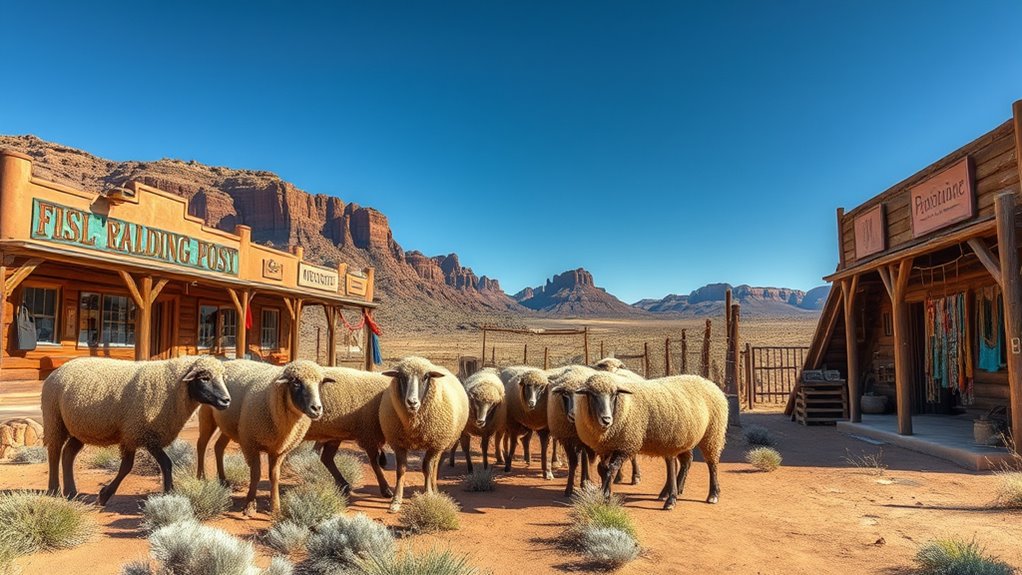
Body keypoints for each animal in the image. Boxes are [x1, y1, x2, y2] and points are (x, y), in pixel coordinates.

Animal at [41, 355, 231, 504]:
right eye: (205, 377)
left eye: (222, 377)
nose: (226, 400)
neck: (171, 388)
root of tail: (57, 370)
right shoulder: (141, 433)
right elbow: (157, 464)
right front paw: (104, 495)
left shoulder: (139, 435)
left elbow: (136, 466)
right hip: (54, 419)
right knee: (54, 452)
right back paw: (54, 490)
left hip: (79, 428)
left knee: (68, 454)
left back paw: (71, 493)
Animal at [196, 359, 329, 515]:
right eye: (296, 382)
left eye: (320, 383)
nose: (317, 409)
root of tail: (225, 363)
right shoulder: (250, 444)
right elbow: (256, 474)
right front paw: (249, 505)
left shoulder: (279, 451)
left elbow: (275, 476)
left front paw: (275, 506)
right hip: (207, 416)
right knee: (201, 445)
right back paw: (201, 478)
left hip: (230, 425)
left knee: (218, 446)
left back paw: (223, 480)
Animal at [302, 366, 394, 498]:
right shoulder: (368, 433)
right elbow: (374, 462)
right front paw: (386, 489)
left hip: (334, 434)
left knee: (326, 458)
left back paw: (344, 484)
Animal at [379, 356, 468, 512]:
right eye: (402, 377)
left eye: (425, 377)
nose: (412, 402)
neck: (414, 424)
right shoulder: (399, 444)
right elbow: (400, 470)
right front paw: (396, 501)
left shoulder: (434, 444)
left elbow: (427, 468)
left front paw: (428, 494)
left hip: (445, 443)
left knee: (436, 466)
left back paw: (435, 489)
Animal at [574, 372, 728, 510]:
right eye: (592, 395)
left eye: (614, 395)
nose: (606, 419)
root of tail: (708, 382)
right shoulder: (606, 448)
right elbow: (602, 469)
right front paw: (604, 493)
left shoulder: (626, 445)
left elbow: (612, 469)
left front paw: (605, 496)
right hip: (684, 439)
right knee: (686, 461)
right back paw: (672, 492)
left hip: (713, 434)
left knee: (712, 464)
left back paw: (712, 495)